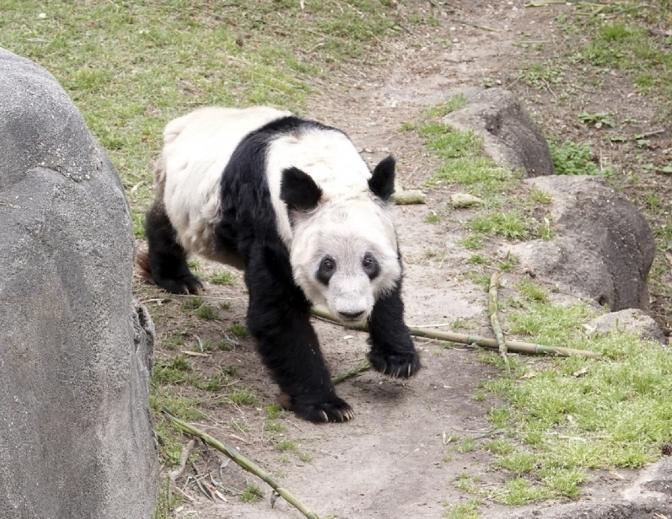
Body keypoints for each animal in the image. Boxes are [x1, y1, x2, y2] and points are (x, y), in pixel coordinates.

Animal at [143, 107, 420, 424]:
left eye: (369, 262)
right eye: (327, 265)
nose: (352, 312)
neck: (324, 168)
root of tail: (183, 121)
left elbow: (391, 288)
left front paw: (397, 359)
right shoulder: (269, 224)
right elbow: (279, 314)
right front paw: (326, 405)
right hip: (183, 197)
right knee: (166, 224)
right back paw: (177, 278)